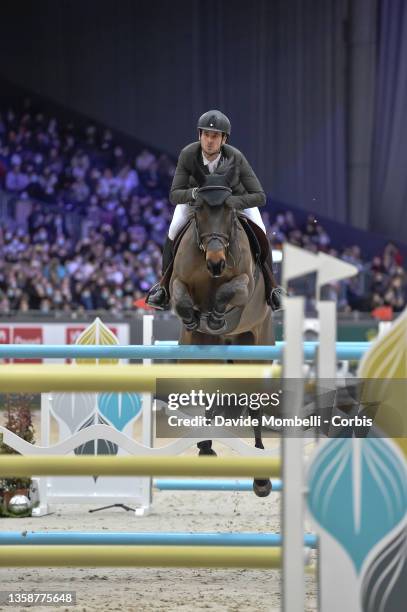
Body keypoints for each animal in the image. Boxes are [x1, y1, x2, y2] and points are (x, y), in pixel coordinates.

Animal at [169, 155, 274, 494]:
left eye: (229, 210)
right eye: (199, 209)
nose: (216, 262)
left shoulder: (245, 284)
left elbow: (231, 290)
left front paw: (215, 314)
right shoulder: (177, 282)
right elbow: (180, 296)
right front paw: (194, 316)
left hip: (257, 349)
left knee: (255, 406)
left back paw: (261, 478)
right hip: (199, 357)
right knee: (206, 391)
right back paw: (204, 444)